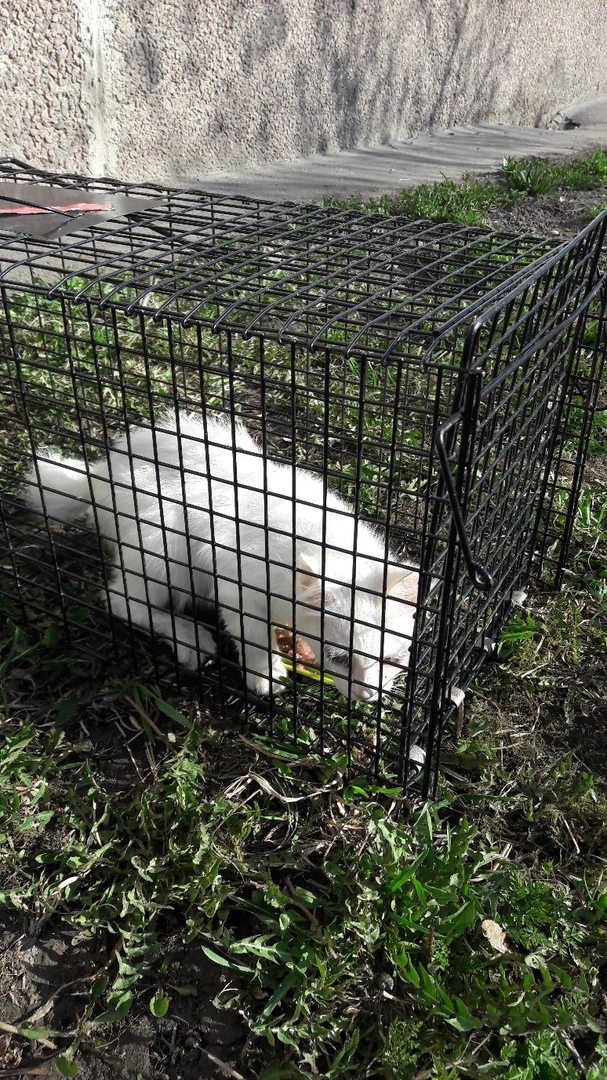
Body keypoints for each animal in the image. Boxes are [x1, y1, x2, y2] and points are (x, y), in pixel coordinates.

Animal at [22, 410, 414, 699]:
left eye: (395, 660)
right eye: (340, 659)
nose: (368, 696)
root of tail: (99, 473)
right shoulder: (234, 577)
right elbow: (251, 632)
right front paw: (265, 675)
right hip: (162, 544)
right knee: (122, 600)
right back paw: (190, 638)